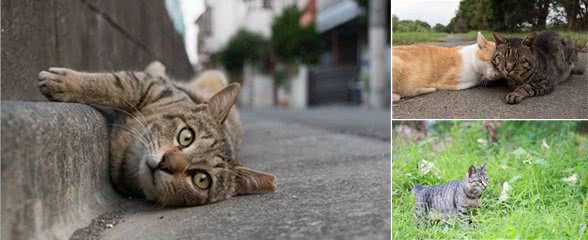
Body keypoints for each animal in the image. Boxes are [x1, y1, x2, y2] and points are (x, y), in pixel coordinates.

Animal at [38, 62, 276, 206]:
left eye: (201, 179)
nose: (166, 163)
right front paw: (62, 83)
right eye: (186, 137)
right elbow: (115, 84)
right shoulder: (148, 85)